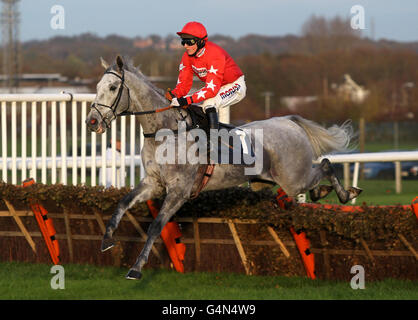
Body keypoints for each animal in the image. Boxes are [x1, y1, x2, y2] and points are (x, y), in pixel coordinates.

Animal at [85, 55, 362, 280]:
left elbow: (156, 225)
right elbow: (122, 203)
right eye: (96, 88)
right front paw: (107, 240)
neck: (165, 131)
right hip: (269, 181)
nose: (92, 122)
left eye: (112, 88)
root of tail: (289, 121)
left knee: (325, 165)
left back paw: (346, 193)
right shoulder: (154, 183)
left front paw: (136, 268)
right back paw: (322, 192)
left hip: (293, 179)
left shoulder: (179, 191)